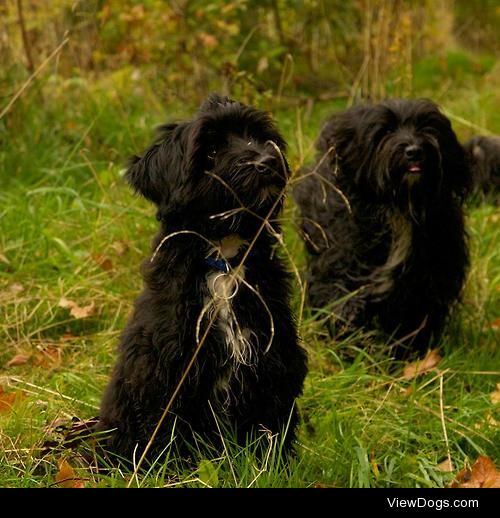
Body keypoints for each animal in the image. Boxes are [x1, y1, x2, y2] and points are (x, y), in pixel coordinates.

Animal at [95, 94, 306, 468]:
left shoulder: (275, 363)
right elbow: (168, 438)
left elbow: (271, 431)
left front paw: (273, 469)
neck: (223, 262)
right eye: (211, 150)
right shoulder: (166, 375)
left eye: (257, 135)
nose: (266, 160)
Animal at [294, 98, 470, 358]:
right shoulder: (339, 257)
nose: (414, 151)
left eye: (426, 126)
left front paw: (408, 355)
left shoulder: (427, 278)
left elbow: (416, 318)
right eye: (385, 131)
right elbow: (338, 296)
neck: (399, 207)